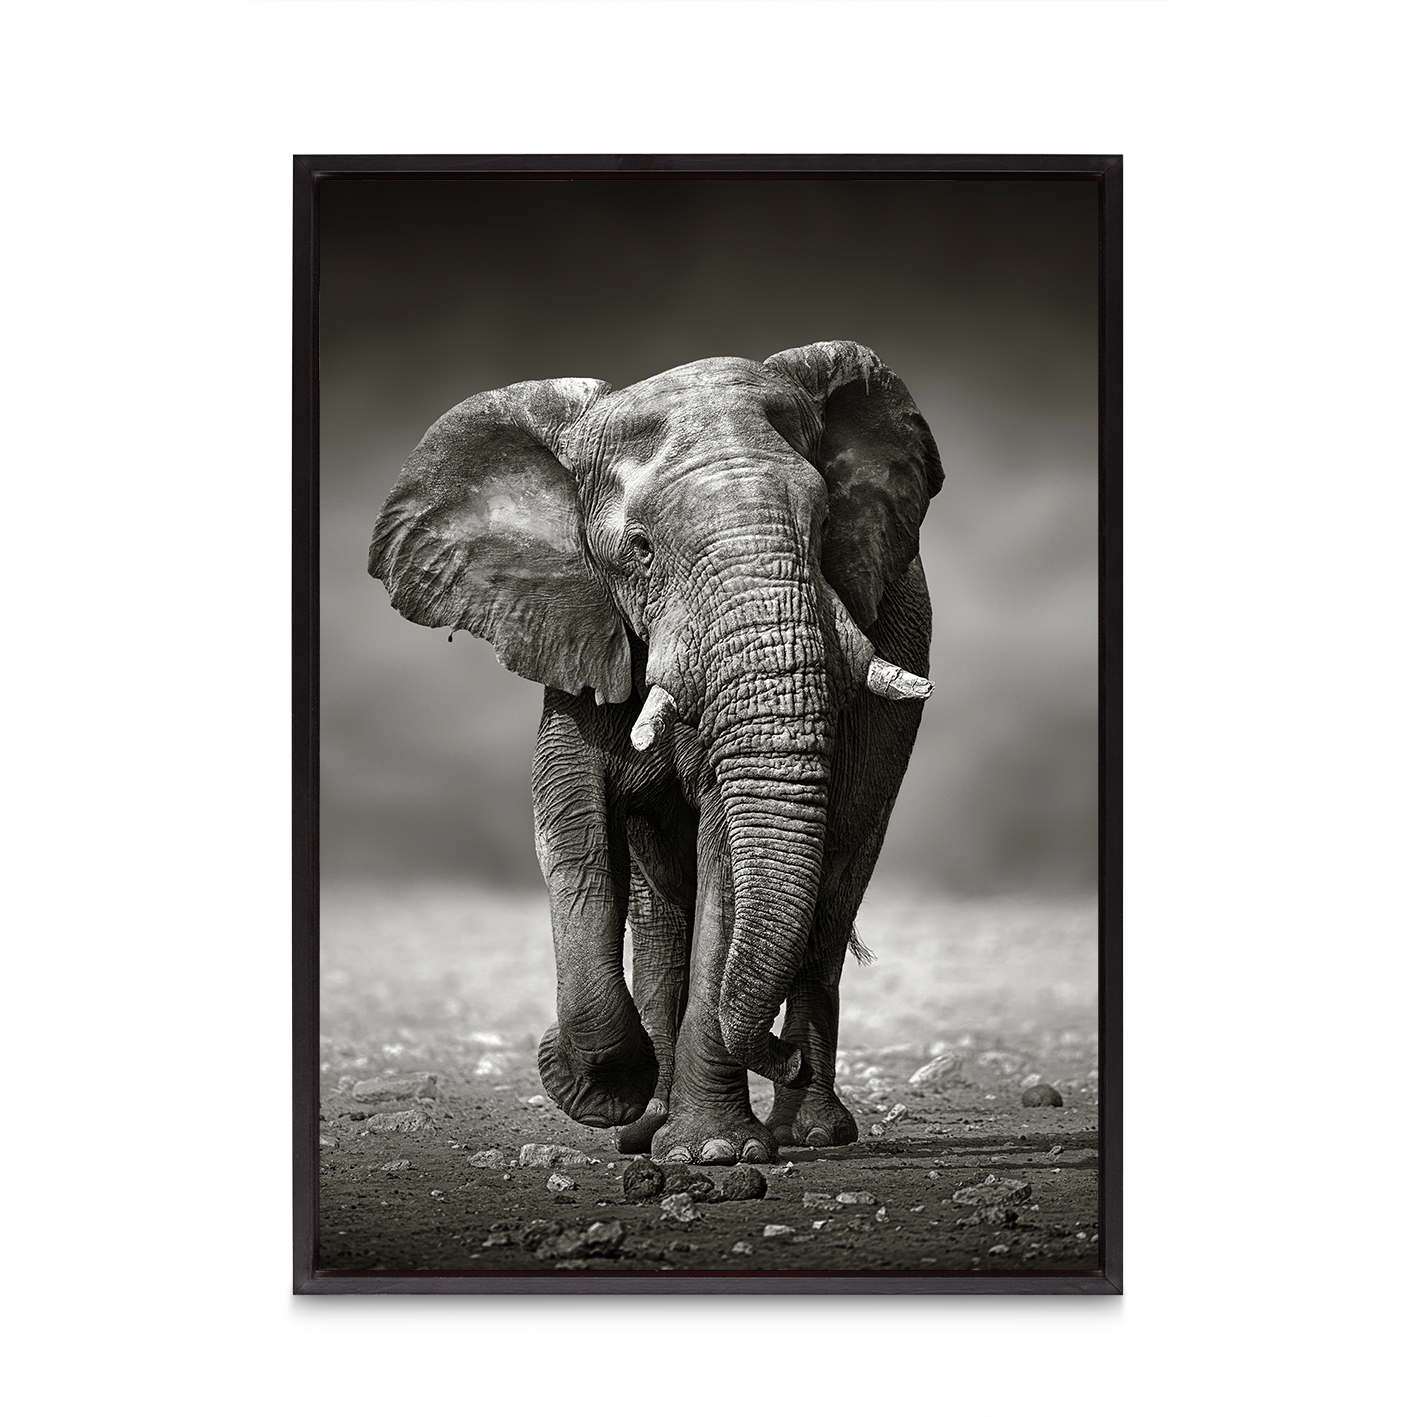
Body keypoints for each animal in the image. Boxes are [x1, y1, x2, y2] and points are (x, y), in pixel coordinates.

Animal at [368, 340, 942, 1165]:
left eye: (825, 521)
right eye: (638, 550)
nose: (779, 1056)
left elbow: (726, 855)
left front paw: (714, 1152)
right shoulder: (576, 628)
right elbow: (571, 831)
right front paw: (601, 1091)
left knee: (831, 891)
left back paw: (807, 1131)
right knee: (661, 912)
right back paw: (649, 1126)